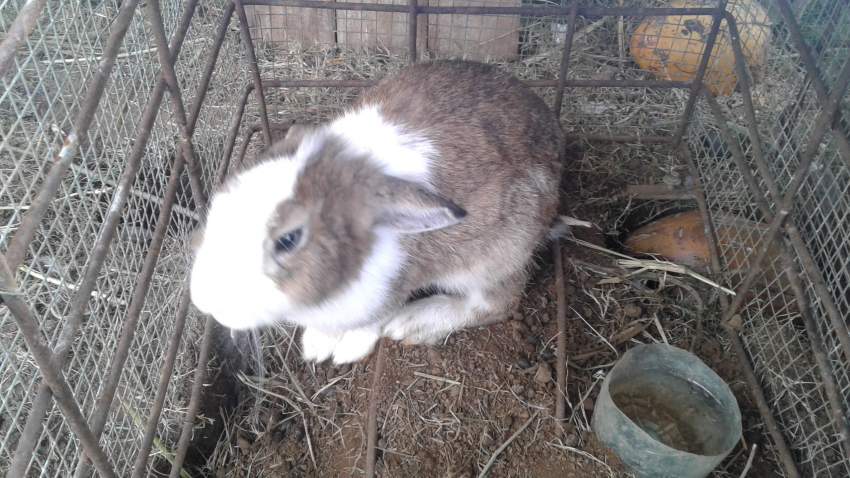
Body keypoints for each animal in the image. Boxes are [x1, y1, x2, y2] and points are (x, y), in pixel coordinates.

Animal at [190, 60, 564, 364]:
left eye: (288, 240)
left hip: (496, 256)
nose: (204, 302)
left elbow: (372, 321)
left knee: (497, 304)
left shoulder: (390, 289)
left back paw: (416, 322)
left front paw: (348, 350)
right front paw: (317, 345)